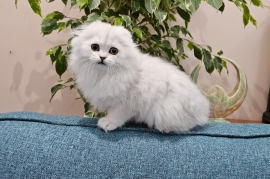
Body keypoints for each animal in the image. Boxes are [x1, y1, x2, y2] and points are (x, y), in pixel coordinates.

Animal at [68, 21, 210, 133]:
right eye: (95, 47)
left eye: (113, 51)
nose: (102, 58)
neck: (104, 75)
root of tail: (203, 108)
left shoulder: (127, 102)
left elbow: (117, 114)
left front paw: (108, 123)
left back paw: (164, 128)